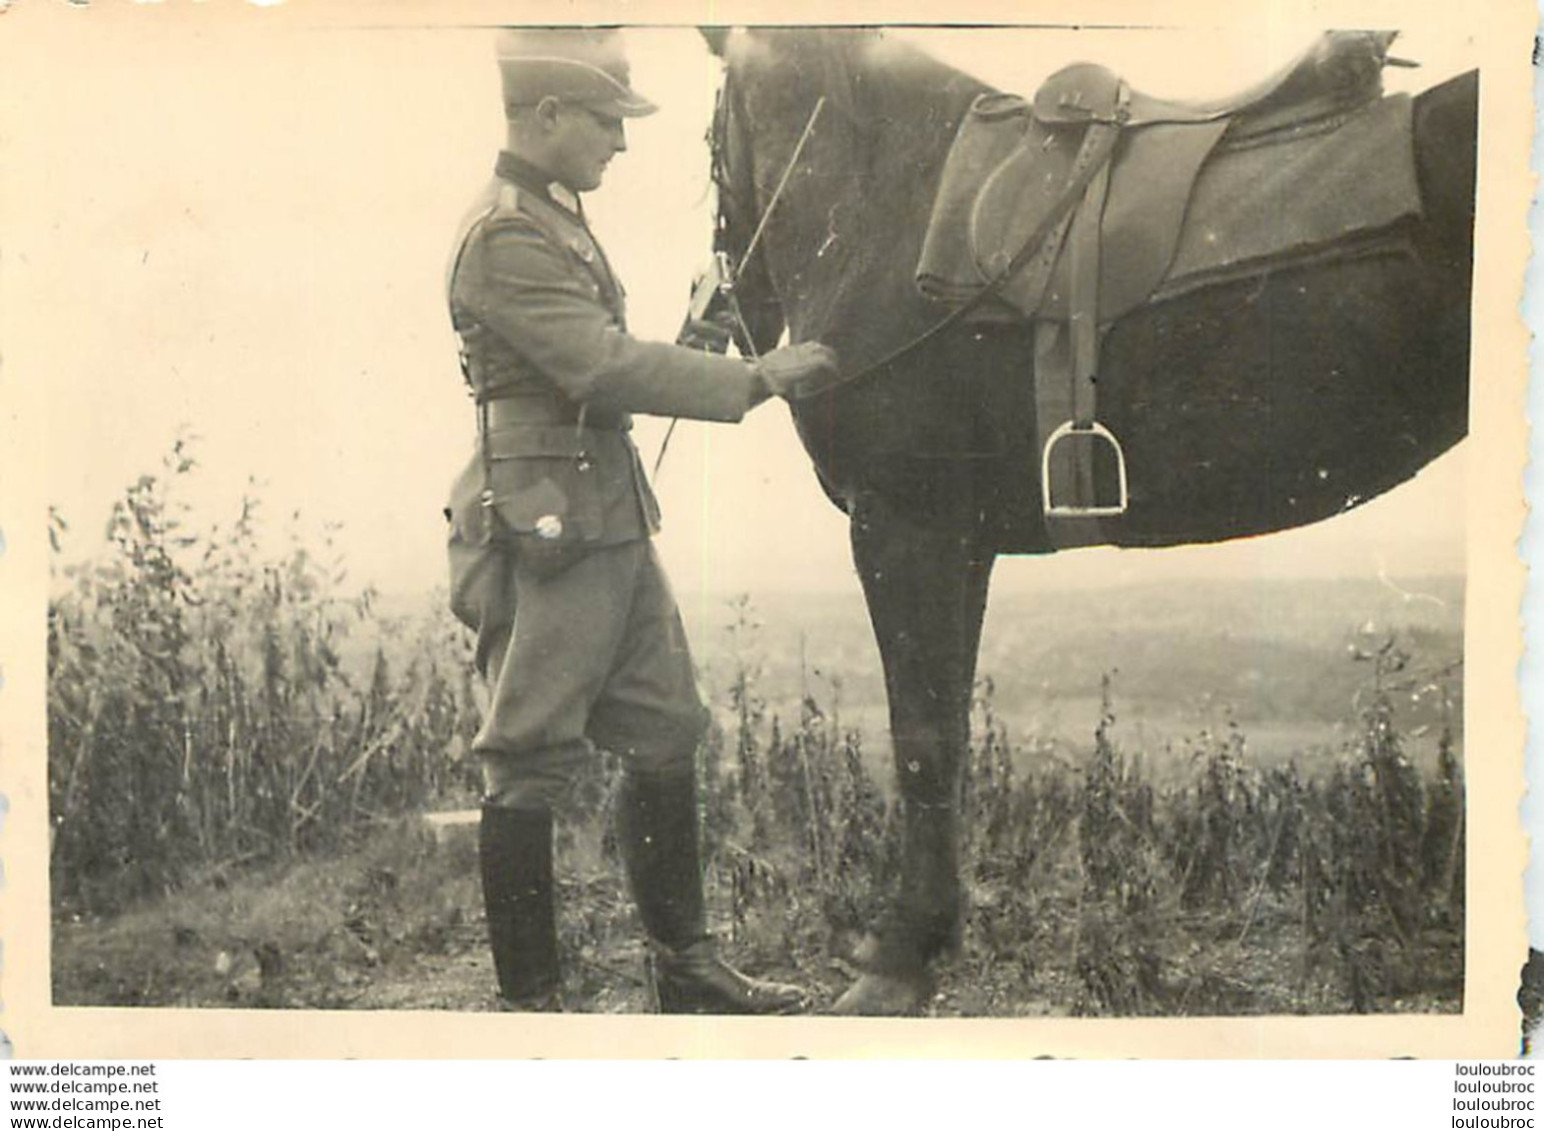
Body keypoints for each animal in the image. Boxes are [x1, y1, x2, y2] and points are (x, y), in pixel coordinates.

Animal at [707, 26, 1476, 1012]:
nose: (735, 314)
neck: (887, 190)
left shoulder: (903, 528)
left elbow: (921, 740)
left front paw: (901, 953)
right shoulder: (961, 543)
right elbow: (950, 731)